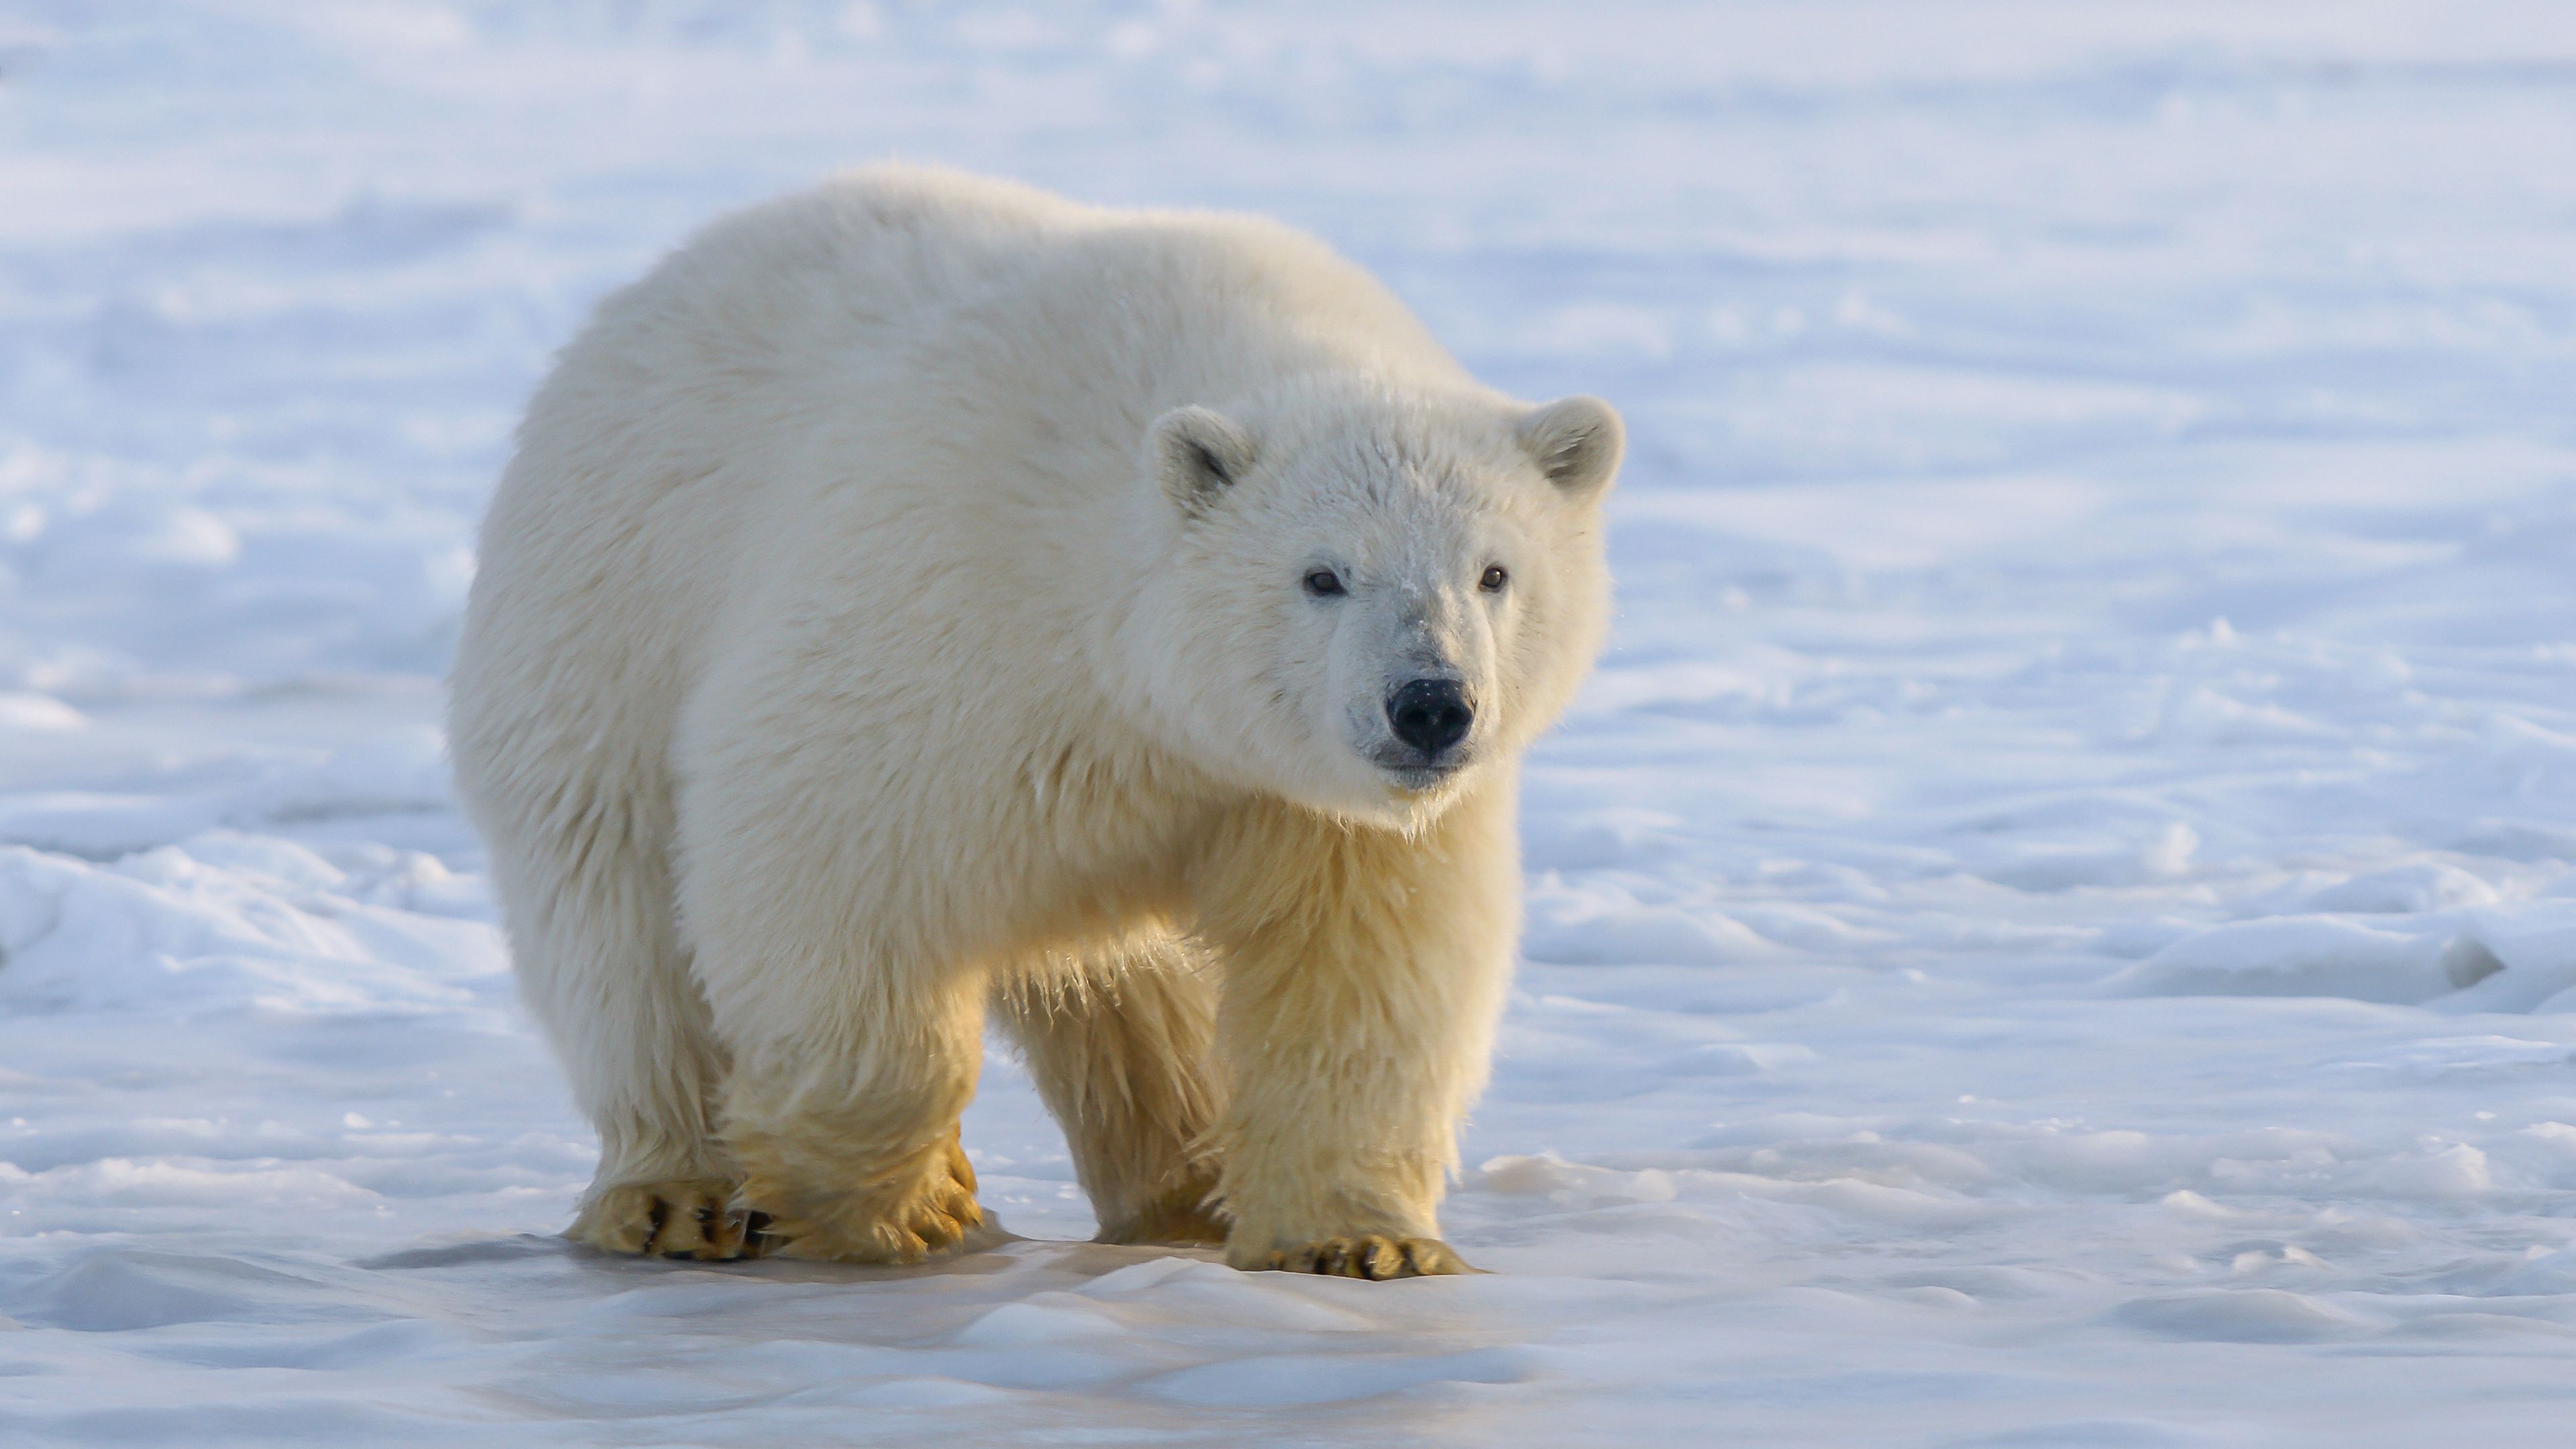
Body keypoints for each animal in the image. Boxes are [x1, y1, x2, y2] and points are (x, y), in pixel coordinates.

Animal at [443, 166, 1607, 1273]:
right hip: (605, 623)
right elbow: (823, 858)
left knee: (1133, 997)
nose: (1431, 706)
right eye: (1322, 575)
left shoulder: (1300, 801)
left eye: (1494, 572)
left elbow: (1358, 973)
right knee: (621, 923)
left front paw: (1363, 1243)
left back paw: (1182, 1186)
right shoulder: (945, 615)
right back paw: (672, 1196)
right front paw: (904, 1204)